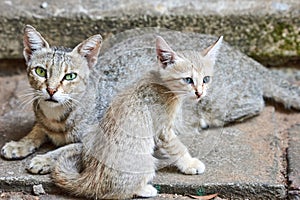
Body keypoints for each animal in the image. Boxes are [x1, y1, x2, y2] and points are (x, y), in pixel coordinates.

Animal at [0, 25, 101, 174]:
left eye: (70, 76)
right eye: (40, 71)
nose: (51, 90)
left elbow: (66, 149)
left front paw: (44, 159)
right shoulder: (41, 120)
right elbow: (36, 130)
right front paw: (19, 144)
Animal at [52, 35, 223, 198]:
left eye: (206, 79)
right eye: (188, 79)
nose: (200, 93)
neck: (163, 84)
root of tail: (91, 178)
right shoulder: (163, 131)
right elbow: (178, 148)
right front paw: (190, 164)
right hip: (146, 162)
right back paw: (146, 189)